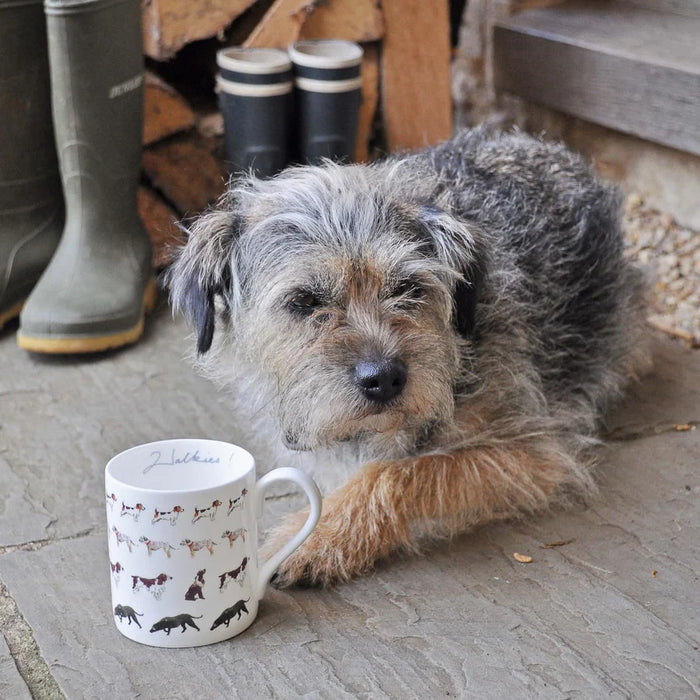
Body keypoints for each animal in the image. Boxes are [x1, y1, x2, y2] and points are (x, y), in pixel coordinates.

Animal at [167, 129, 648, 588]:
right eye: (304, 301)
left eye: (409, 288)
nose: (385, 378)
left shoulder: (533, 452)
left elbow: (397, 472)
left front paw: (318, 536)